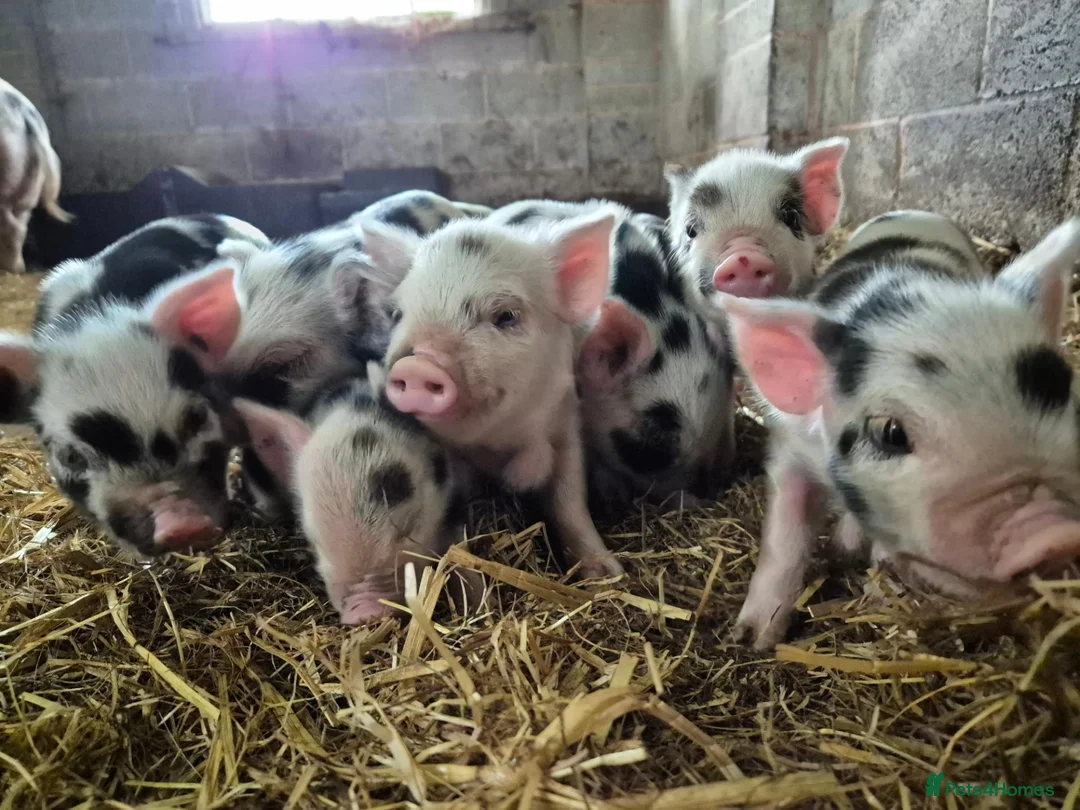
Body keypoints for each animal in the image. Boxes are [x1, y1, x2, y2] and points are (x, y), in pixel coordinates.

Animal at [351, 211, 625, 578]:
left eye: (506, 316)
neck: (498, 446)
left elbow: (569, 501)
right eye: (397, 314)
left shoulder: (566, 424)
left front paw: (609, 574)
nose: (417, 364)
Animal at [721, 210, 1080, 650]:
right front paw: (753, 638)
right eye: (890, 433)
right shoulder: (791, 446)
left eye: (1065, 392)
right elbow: (785, 535)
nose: (1055, 531)